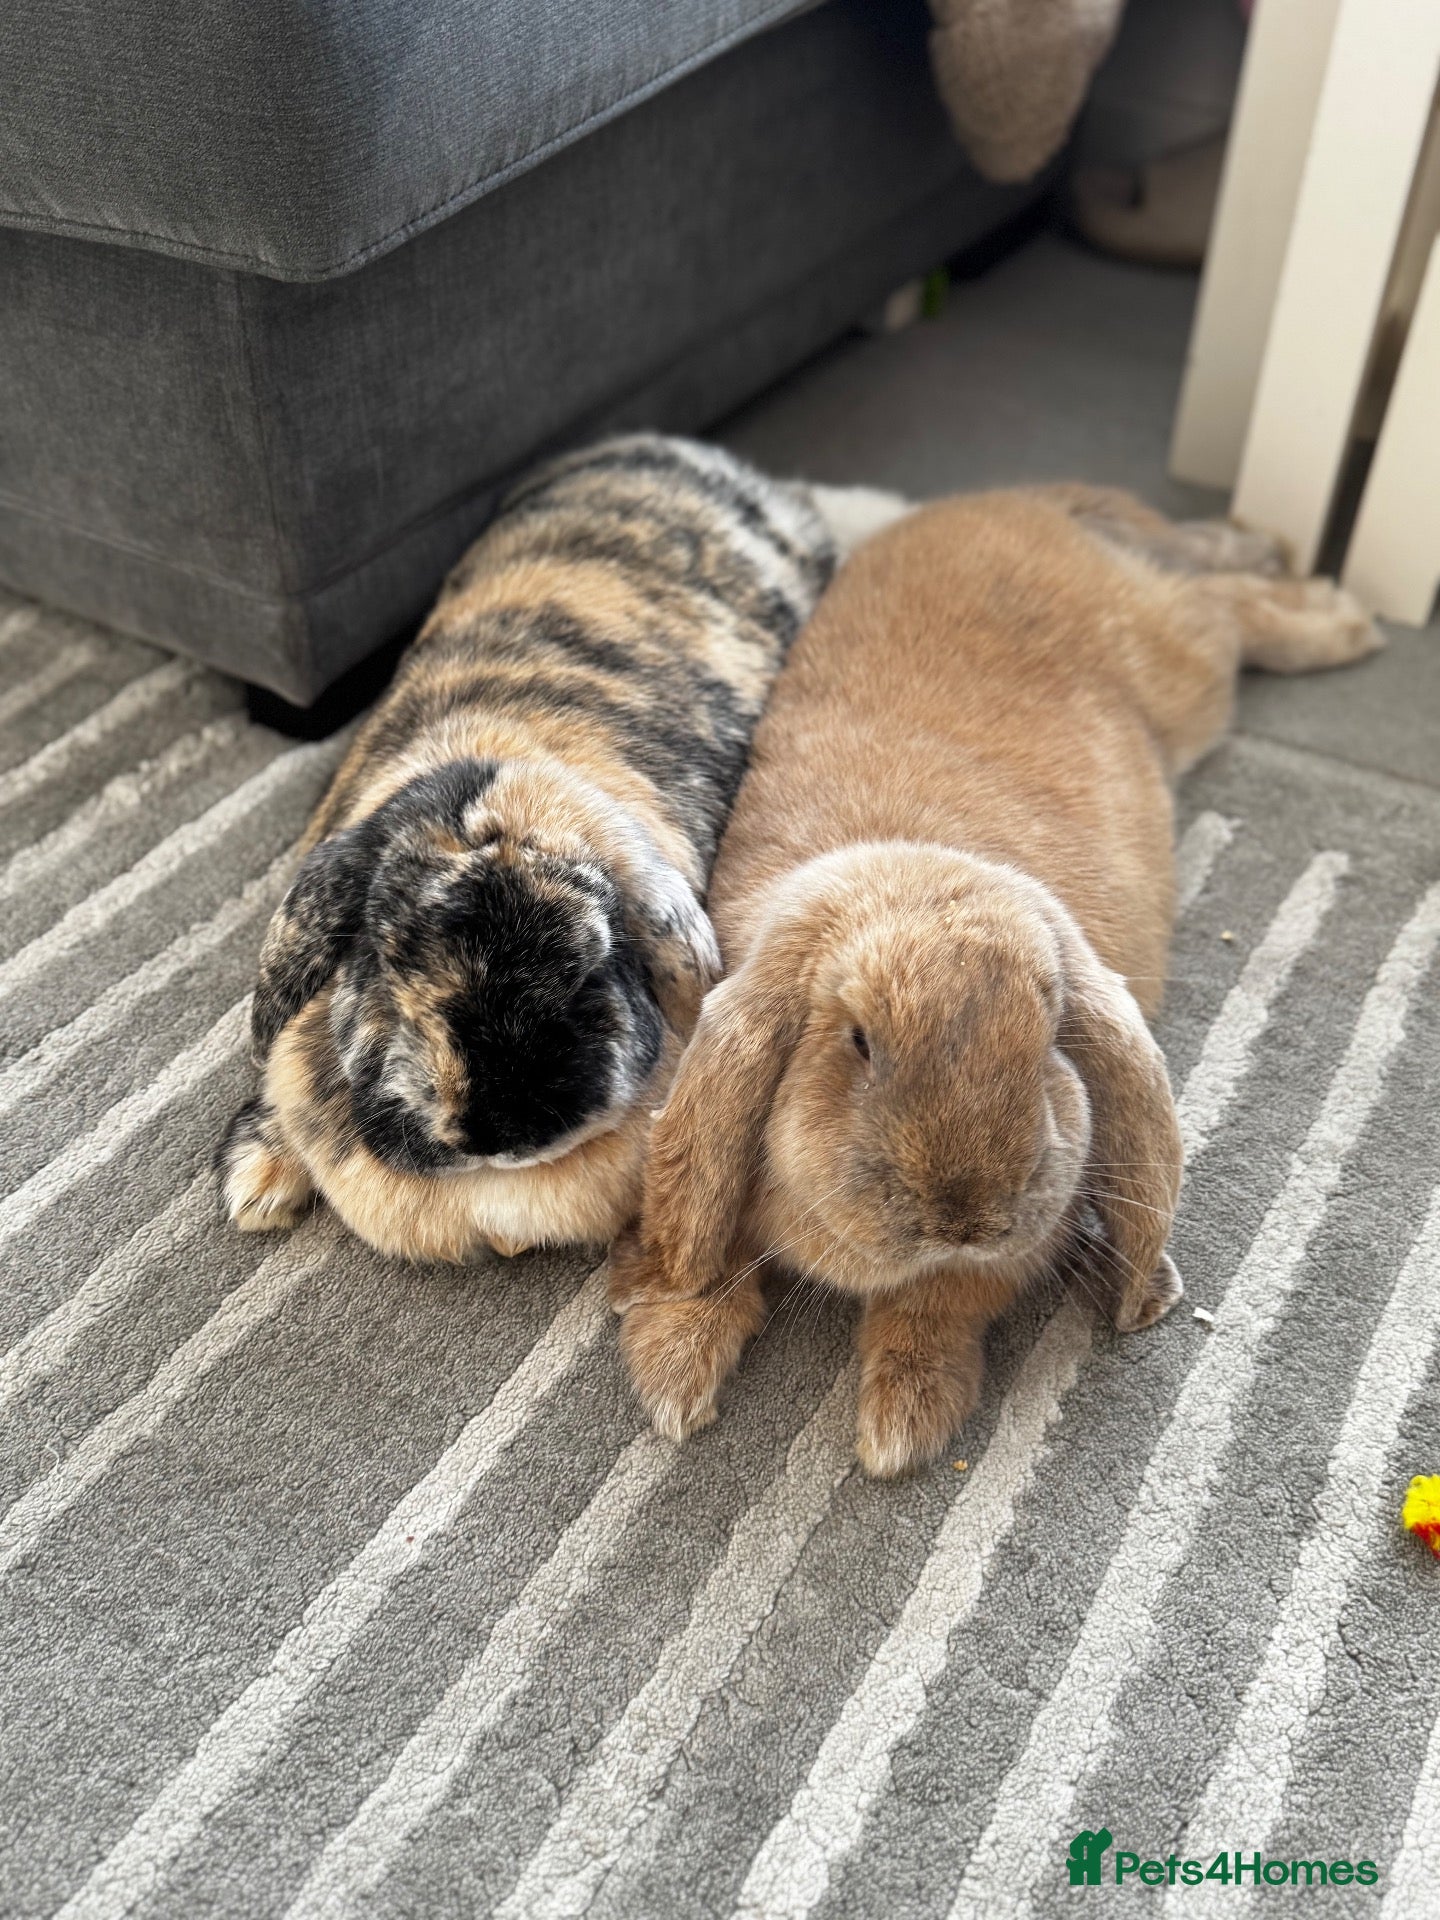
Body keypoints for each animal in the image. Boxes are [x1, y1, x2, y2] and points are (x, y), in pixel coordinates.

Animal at [609, 484, 1383, 1475]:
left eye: (1049, 1035)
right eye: (857, 1040)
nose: (965, 1216)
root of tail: (1008, 500)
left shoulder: (1004, 1258)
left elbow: (933, 1315)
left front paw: (902, 1425)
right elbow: (699, 1248)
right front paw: (673, 1374)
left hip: (1182, 666)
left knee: (1230, 607)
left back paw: (1341, 619)